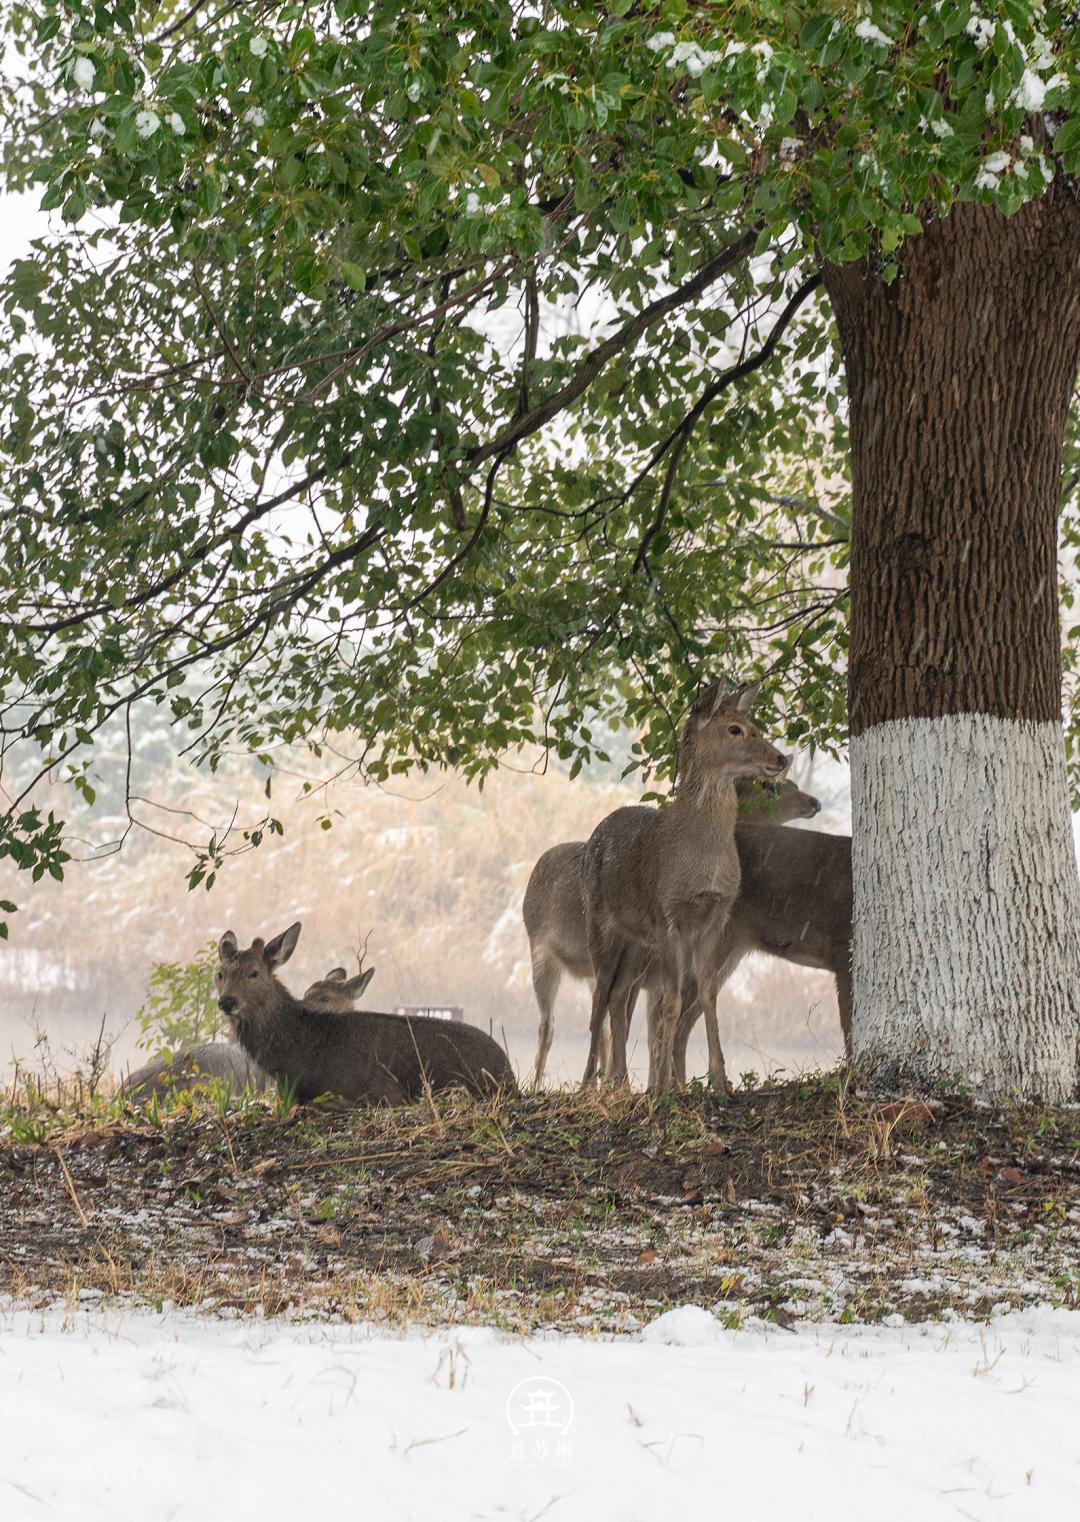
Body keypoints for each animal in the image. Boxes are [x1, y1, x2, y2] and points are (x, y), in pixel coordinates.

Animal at [526, 785, 821, 1083]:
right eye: (771, 788)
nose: (814, 802)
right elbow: (644, 1026)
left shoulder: (659, 978)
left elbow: (653, 1032)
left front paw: (656, 1083)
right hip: (542, 953)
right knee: (549, 1025)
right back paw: (544, 1084)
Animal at [584, 687, 784, 1095]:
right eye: (735, 729)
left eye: (754, 723)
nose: (781, 758)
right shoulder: (669, 916)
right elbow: (671, 1005)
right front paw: (663, 1089)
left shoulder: (716, 916)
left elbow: (707, 996)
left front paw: (719, 1084)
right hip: (598, 922)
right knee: (598, 997)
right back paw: (588, 1085)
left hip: (638, 942)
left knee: (618, 997)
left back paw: (620, 1084)